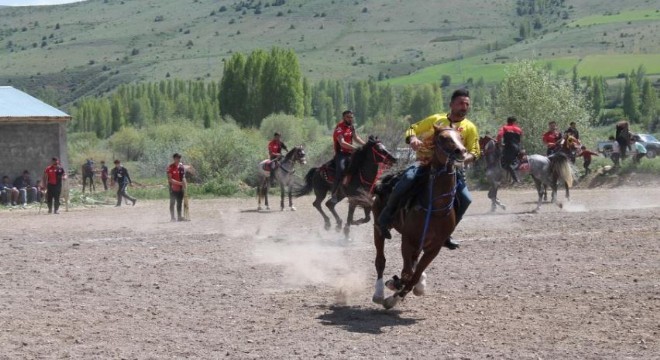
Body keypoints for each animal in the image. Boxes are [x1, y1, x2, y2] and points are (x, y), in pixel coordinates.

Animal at [358, 124, 466, 310]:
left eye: (461, 137)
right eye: (443, 138)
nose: (461, 151)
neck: (434, 208)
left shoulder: (434, 247)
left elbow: (414, 275)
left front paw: (403, 292)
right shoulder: (408, 240)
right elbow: (407, 273)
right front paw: (393, 289)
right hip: (378, 229)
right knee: (380, 260)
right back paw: (379, 294)